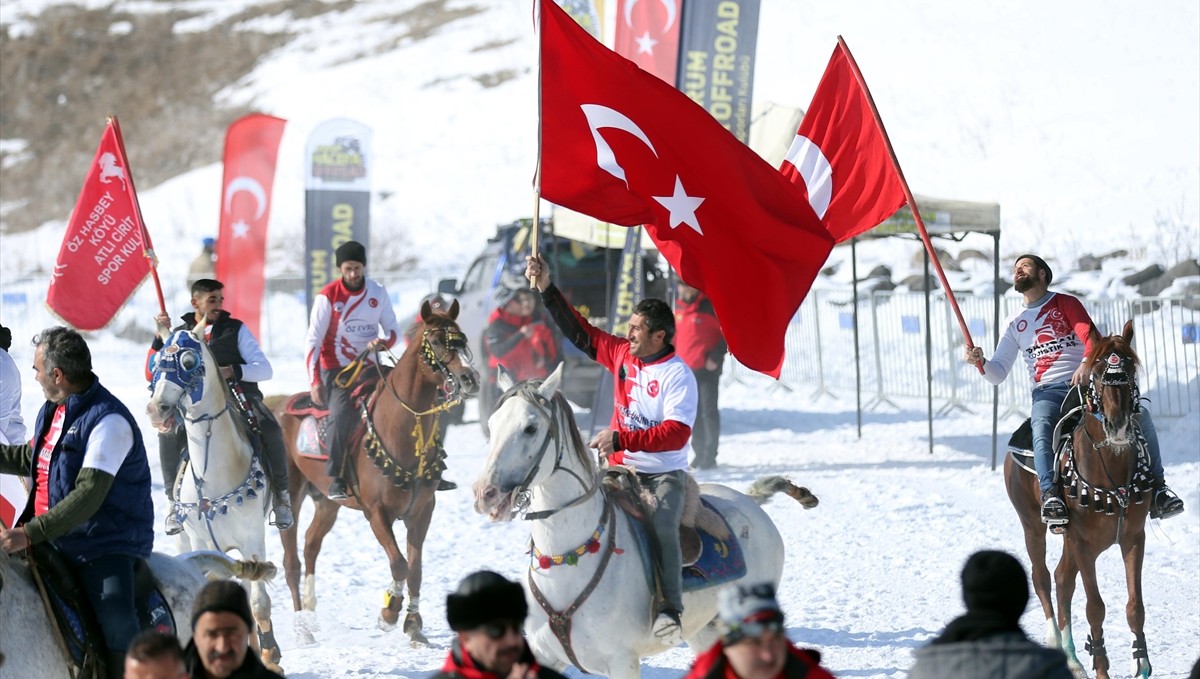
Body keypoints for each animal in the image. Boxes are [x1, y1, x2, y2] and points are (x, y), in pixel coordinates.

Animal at [146, 323, 279, 671]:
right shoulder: (202, 542)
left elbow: (259, 601)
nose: (156, 409)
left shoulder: (252, 541)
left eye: (189, 361)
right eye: (156, 363)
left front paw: (271, 655)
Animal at [272, 301, 477, 647]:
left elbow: (416, 568)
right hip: (292, 496)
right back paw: (302, 629)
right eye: (436, 341)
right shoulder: (377, 512)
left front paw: (414, 623)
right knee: (291, 562)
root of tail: (279, 408)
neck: (401, 428)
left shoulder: (422, 511)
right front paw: (389, 612)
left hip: (327, 502)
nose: (468, 378)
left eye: (461, 339)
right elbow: (400, 564)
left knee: (311, 544)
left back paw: (311, 614)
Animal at [468, 367, 816, 679]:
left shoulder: (622, 663)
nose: (485, 493)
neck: (568, 561)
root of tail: (749, 501)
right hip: (705, 630)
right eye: (493, 424)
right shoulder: (544, 655)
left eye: (530, 427)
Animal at [1003, 321, 1152, 679]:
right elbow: (1095, 607)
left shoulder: (1133, 538)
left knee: (1062, 578)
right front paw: (1101, 668)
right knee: (1043, 578)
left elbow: (1135, 607)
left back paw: (1071, 659)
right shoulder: (1083, 543)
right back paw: (1059, 648)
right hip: (1033, 525)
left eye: (1130, 370)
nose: (1118, 425)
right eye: (1096, 373)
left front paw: (1141, 662)